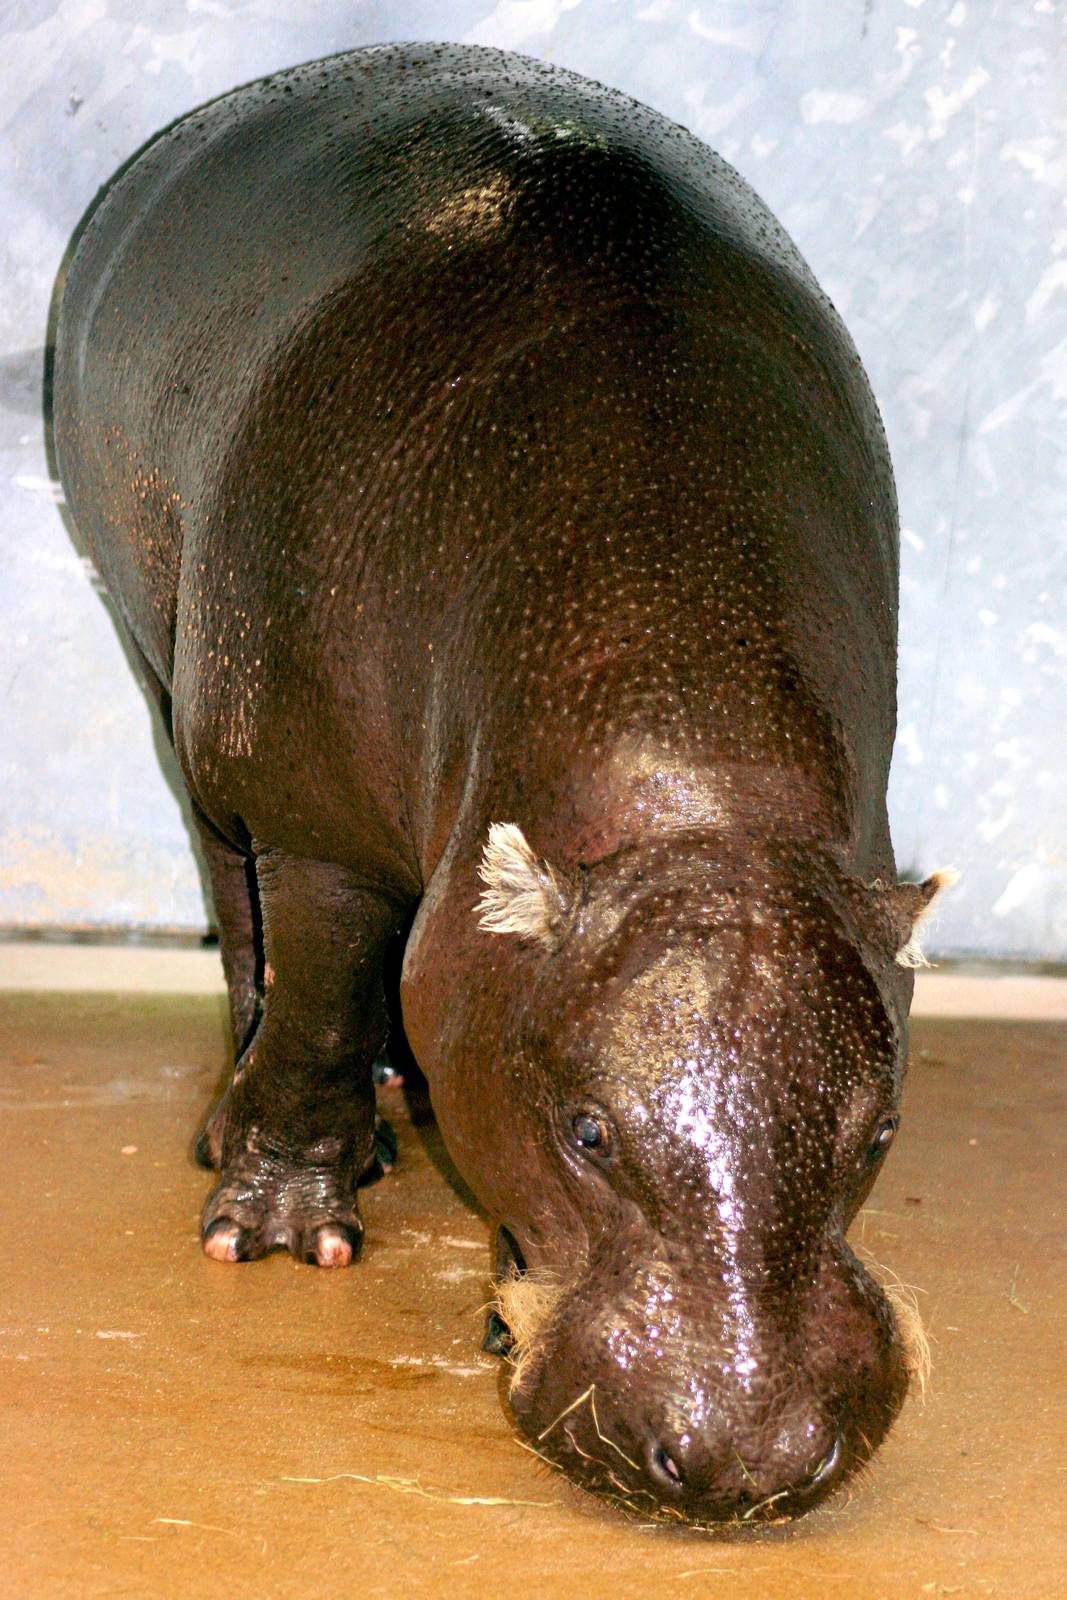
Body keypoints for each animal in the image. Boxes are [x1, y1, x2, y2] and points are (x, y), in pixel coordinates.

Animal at [52, 42, 953, 1528]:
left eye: (877, 1133)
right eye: (586, 1133)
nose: (746, 1463)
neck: (695, 791)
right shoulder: (318, 825)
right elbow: (318, 980)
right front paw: (279, 1231)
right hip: (170, 668)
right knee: (235, 908)